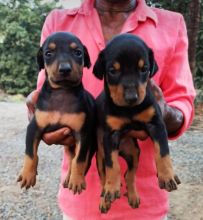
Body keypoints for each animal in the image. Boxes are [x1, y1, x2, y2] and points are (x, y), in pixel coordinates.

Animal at [17, 31, 96, 194]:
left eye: (78, 53)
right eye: (48, 53)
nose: (65, 69)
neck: (62, 92)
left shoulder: (82, 133)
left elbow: (80, 160)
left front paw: (77, 180)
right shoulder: (34, 127)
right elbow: (30, 153)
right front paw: (28, 174)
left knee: (80, 160)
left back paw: (73, 178)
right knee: (71, 158)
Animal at [93, 33, 180, 213]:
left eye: (144, 69)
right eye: (112, 70)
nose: (131, 98)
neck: (129, 110)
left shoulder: (157, 124)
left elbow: (163, 151)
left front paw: (167, 175)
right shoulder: (110, 136)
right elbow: (113, 165)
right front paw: (112, 187)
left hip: (134, 153)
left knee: (129, 175)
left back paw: (133, 196)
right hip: (100, 155)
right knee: (104, 176)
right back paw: (105, 197)